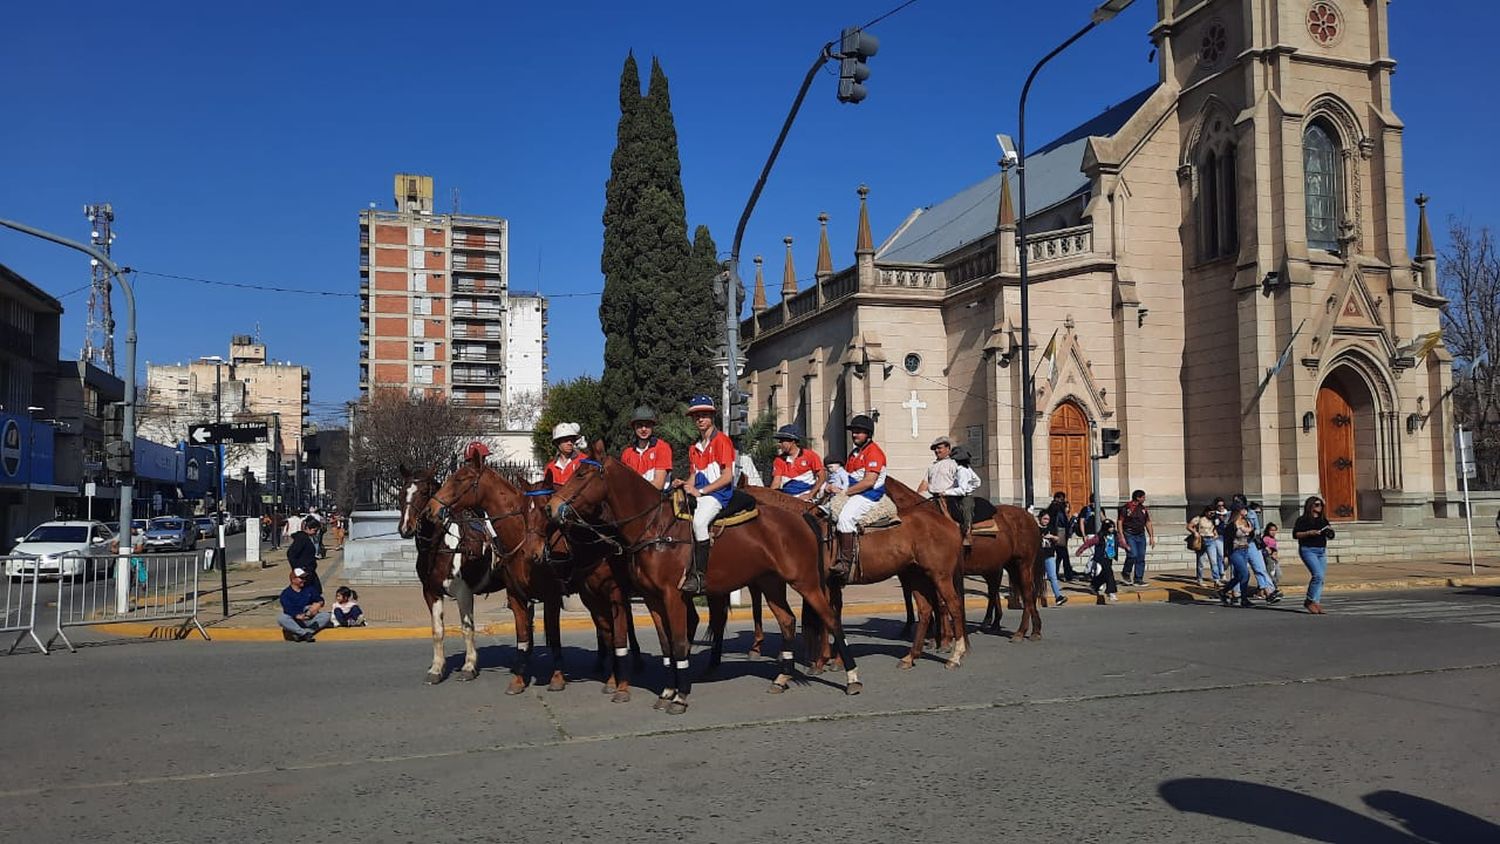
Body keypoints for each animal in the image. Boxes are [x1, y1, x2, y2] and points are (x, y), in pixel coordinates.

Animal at [420, 461, 642, 701]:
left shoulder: (551, 597)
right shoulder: (516, 596)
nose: (431, 509)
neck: (519, 539)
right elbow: (523, 637)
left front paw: (557, 678)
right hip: (591, 595)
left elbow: (553, 636)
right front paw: (518, 679)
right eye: (526, 510)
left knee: (621, 625)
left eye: (461, 479)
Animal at [549, 443, 858, 713]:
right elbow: (666, 645)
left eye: (581, 474)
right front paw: (667, 692)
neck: (655, 528)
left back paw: (852, 678)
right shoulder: (652, 599)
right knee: (788, 621)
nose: (551, 507)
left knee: (831, 619)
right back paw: (781, 679)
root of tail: (803, 517)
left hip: (806, 583)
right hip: (771, 583)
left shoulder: (673, 596)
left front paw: (680, 696)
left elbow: (679, 643)